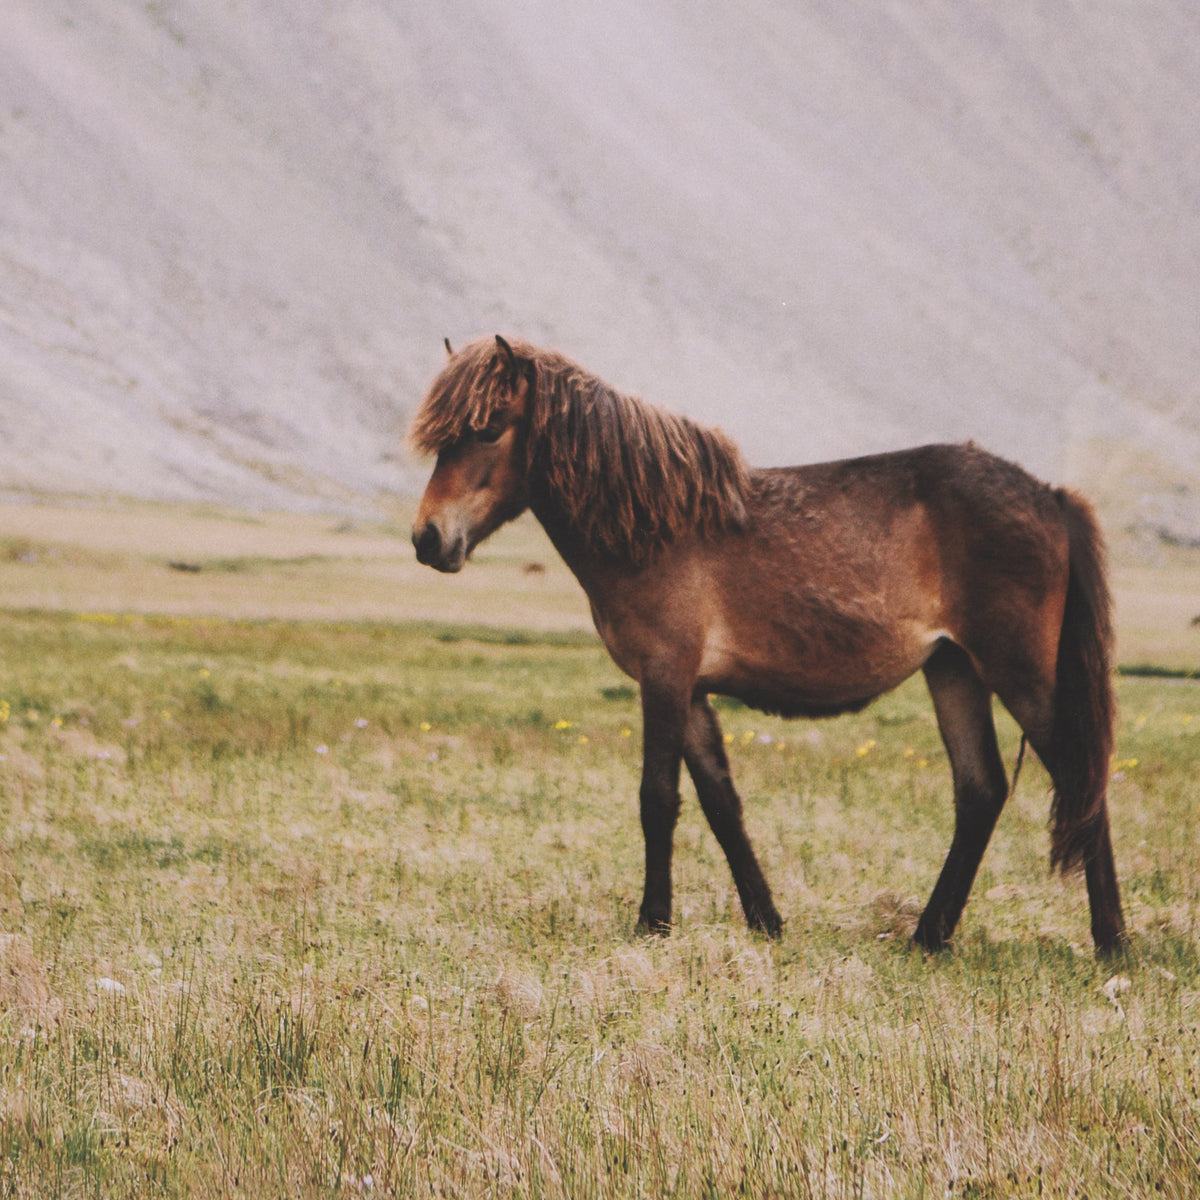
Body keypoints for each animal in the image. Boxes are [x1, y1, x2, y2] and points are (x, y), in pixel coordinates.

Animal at [409, 334, 1126, 956]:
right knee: (981, 791)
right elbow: (721, 804)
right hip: (954, 670)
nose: (427, 538)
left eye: (487, 428)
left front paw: (652, 922)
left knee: (1080, 778)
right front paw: (766, 919)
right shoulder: (692, 691)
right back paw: (929, 935)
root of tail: (1049, 496)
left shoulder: (665, 677)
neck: (652, 526)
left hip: (1018, 675)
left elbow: (657, 799)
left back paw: (1110, 942)